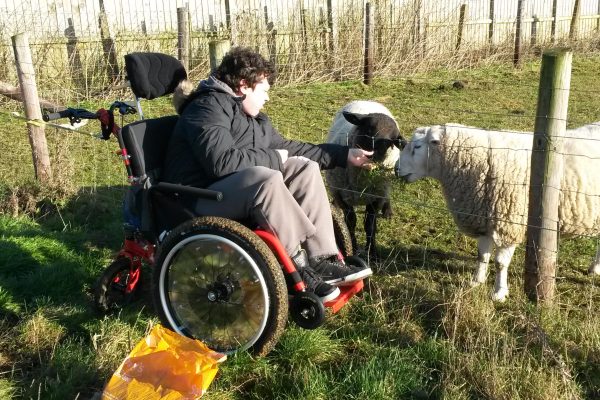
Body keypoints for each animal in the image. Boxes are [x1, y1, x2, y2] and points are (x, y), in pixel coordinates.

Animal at [326, 99, 406, 256]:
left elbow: (370, 225)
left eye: (392, 141)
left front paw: (372, 252)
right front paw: (354, 247)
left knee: (387, 195)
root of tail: (368, 101)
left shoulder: (375, 198)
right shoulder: (342, 196)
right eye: (368, 130)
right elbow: (350, 222)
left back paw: (388, 211)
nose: (376, 153)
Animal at [396, 123, 600, 302]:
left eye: (417, 146)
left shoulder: (509, 223)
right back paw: (594, 268)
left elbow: (500, 263)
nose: (396, 169)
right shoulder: (483, 220)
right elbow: (482, 255)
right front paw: (476, 281)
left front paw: (499, 293)